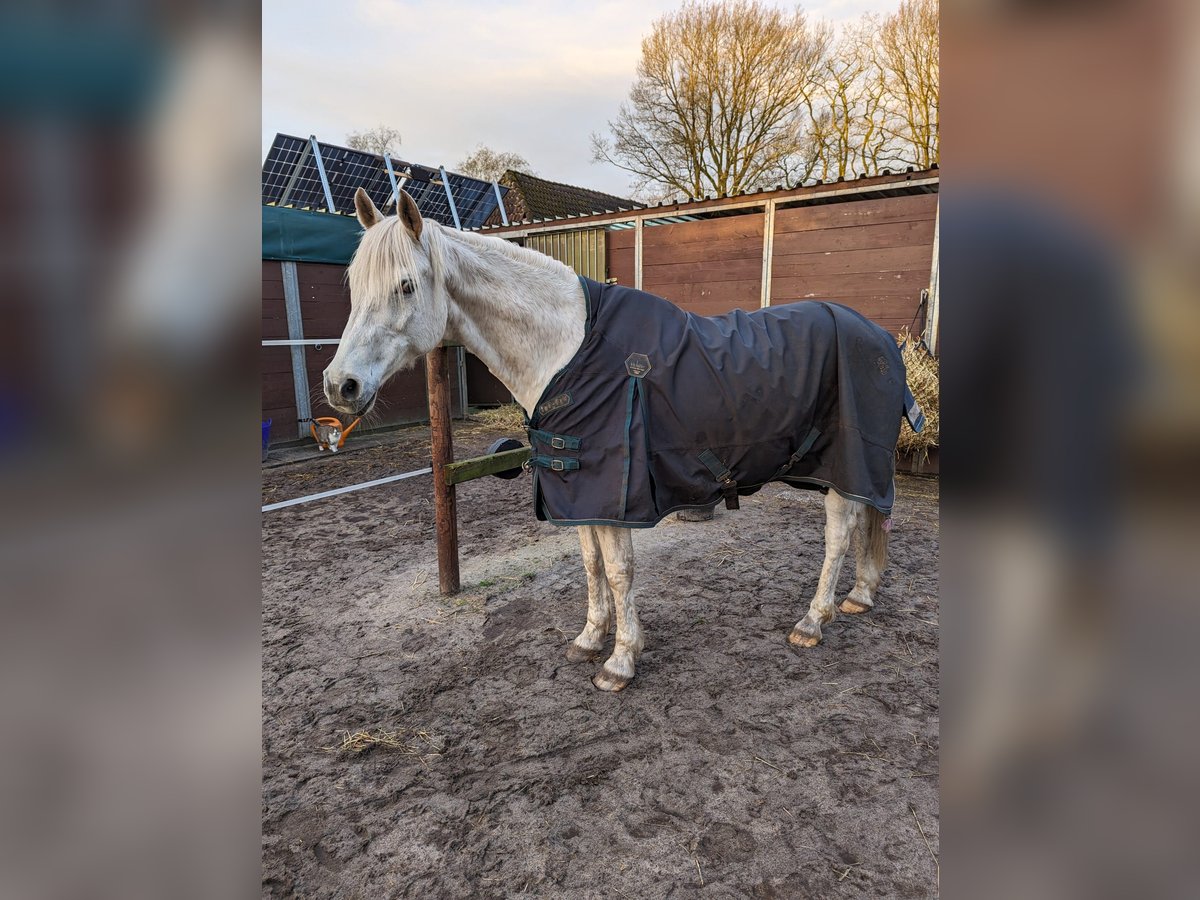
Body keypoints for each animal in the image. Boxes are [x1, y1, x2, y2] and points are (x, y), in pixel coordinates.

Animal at [326, 188, 892, 696]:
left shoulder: (614, 494)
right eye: (353, 285)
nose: (339, 385)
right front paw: (590, 638)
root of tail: (879, 335)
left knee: (839, 535)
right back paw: (859, 596)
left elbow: (619, 572)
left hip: (844, 468)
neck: (568, 350)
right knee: (866, 521)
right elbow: (591, 564)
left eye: (405, 286)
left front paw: (621, 661)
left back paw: (813, 621)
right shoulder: (579, 491)